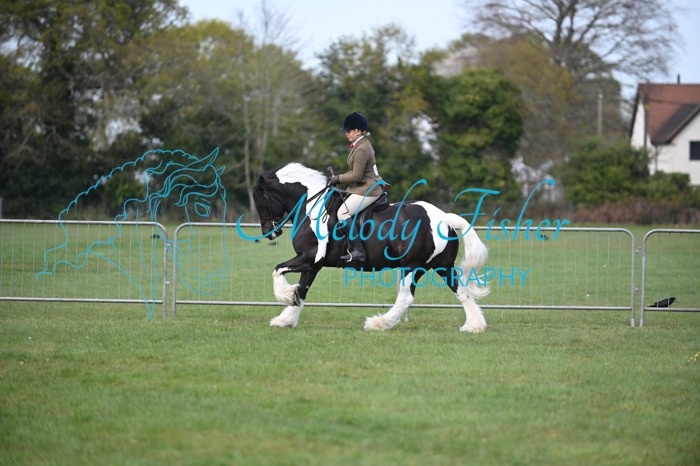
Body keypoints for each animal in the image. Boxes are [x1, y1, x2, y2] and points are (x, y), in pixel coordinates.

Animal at [249, 162, 490, 332]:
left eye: (259, 197)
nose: (269, 232)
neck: (311, 206)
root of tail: (444, 219)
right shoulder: (313, 264)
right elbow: (302, 290)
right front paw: (285, 319)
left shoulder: (310, 257)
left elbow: (278, 270)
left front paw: (285, 295)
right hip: (442, 266)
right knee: (461, 291)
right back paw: (474, 326)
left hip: (412, 266)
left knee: (406, 297)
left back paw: (379, 323)